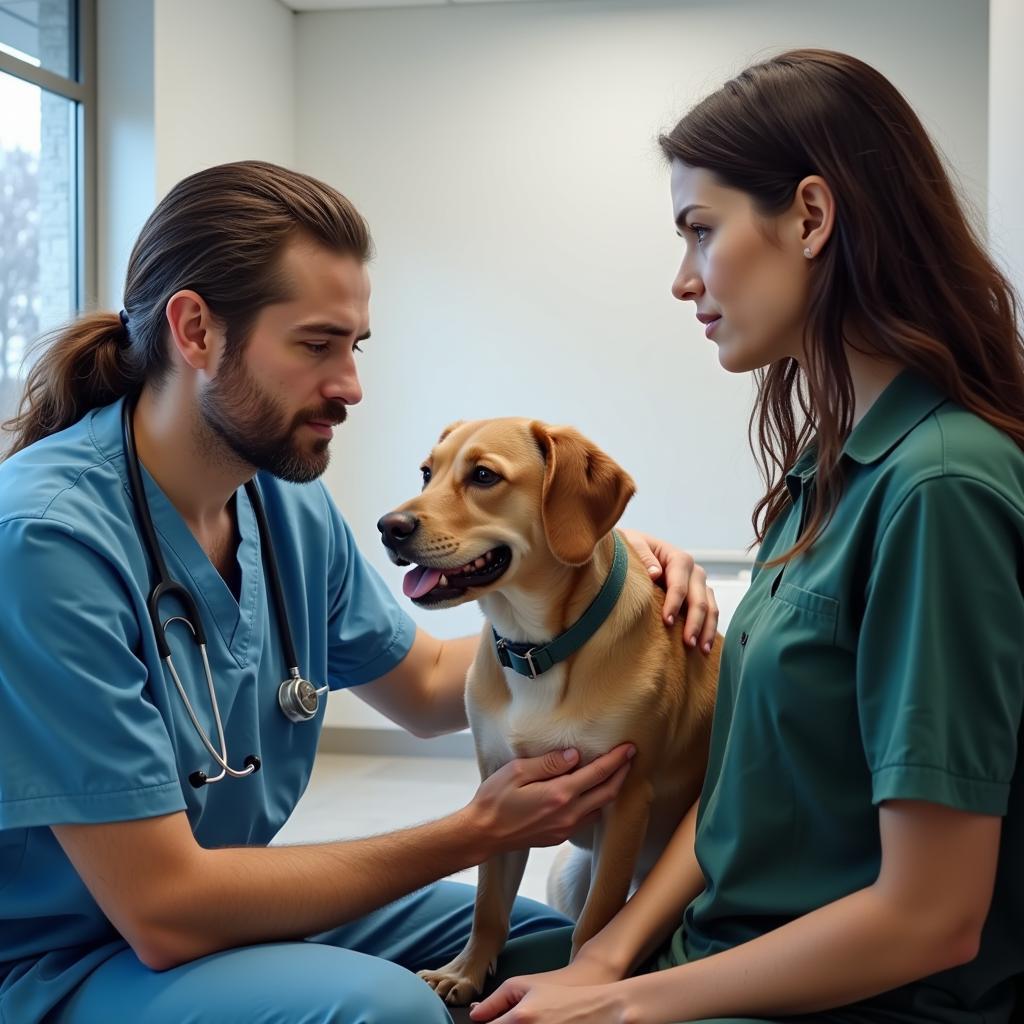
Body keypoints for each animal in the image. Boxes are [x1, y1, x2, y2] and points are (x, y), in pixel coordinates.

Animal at [376, 417, 720, 1007]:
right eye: (427, 472)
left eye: (484, 476)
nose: (386, 527)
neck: (537, 649)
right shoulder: (498, 786)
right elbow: (489, 904)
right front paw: (464, 971)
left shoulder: (626, 799)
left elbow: (597, 923)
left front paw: (571, 984)